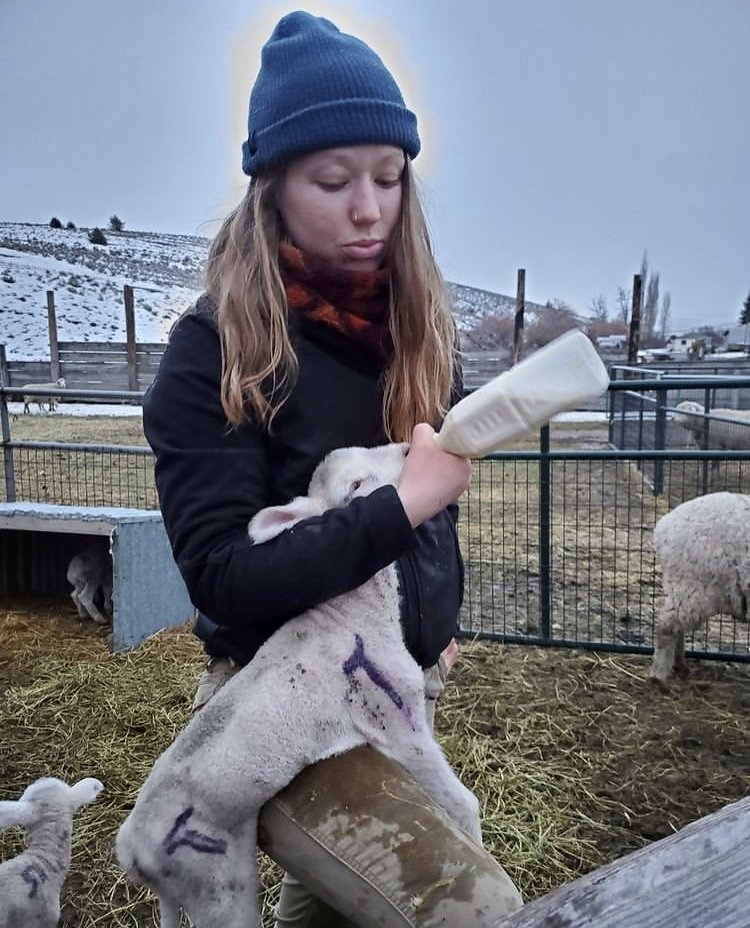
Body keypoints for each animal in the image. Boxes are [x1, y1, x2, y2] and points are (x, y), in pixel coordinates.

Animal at [116, 442, 493, 928]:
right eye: (356, 485)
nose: (407, 447)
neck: (351, 613)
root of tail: (132, 854)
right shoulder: (394, 718)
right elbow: (461, 801)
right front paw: (478, 841)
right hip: (214, 884)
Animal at [649, 491, 750, 686]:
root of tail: (663, 527)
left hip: (685, 589)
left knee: (676, 626)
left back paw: (679, 665)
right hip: (693, 587)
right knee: (667, 625)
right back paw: (659, 674)